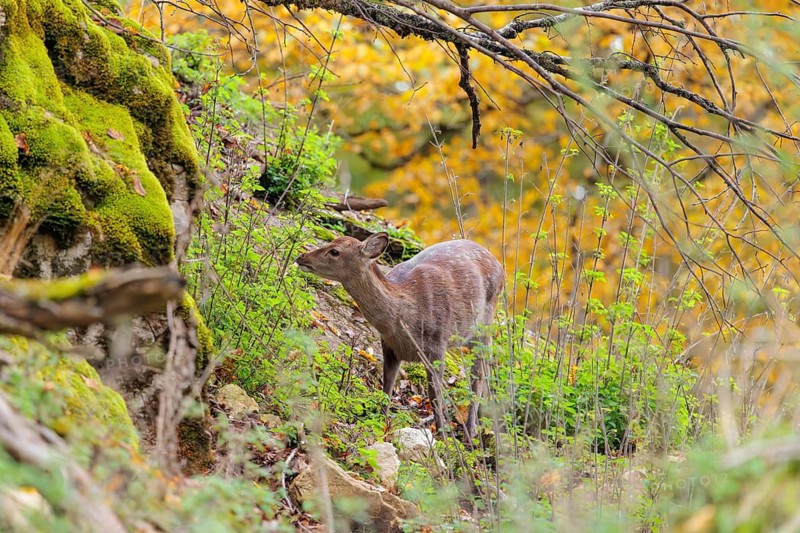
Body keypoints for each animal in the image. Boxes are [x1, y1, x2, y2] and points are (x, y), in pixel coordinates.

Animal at [296, 232, 504, 440]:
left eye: (335, 251)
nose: (301, 256)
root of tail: (499, 265)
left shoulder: (438, 345)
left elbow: (435, 396)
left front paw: (443, 437)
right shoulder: (389, 346)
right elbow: (387, 387)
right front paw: (381, 424)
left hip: (484, 324)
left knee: (479, 375)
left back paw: (470, 433)